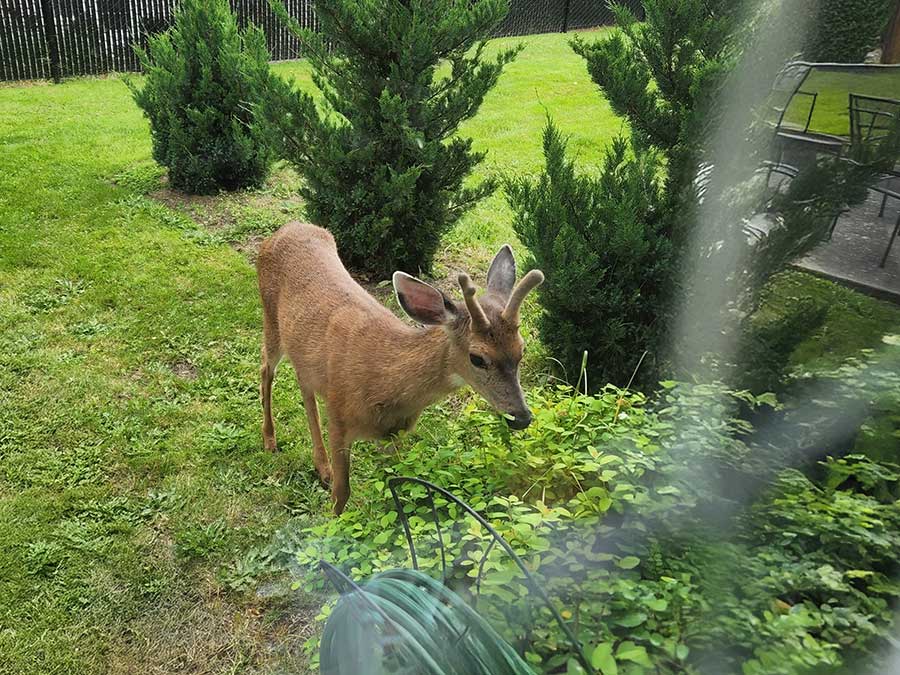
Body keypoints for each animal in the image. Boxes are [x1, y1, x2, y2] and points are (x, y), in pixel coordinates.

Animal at [256, 220, 544, 512]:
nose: (522, 417)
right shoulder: (338, 417)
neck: (383, 383)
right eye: (477, 358)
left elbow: (392, 484)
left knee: (304, 386)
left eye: (521, 350)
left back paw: (321, 467)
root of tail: (287, 227)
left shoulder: (391, 435)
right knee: (266, 368)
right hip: (270, 317)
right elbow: (342, 493)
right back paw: (270, 441)